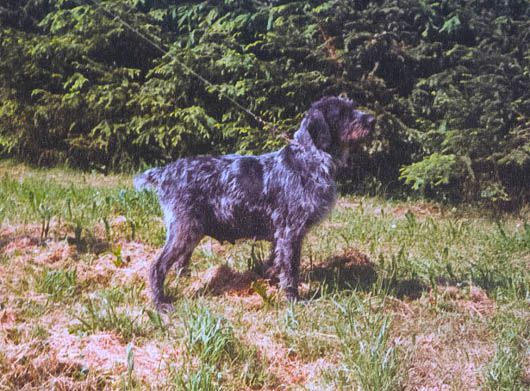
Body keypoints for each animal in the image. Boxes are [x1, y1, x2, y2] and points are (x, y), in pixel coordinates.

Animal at [136, 96, 376, 310]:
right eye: (342, 113)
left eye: (352, 106)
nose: (372, 120)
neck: (309, 158)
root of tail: (165, 171)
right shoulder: (291, 232)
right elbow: (291, 270)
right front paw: (293, 300)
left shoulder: (280, 235)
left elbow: (275, 262)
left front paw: (269, 280)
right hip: (185, 229)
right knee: (157, 266)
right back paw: (160, 303)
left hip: (192, 230)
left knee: (178, 263)